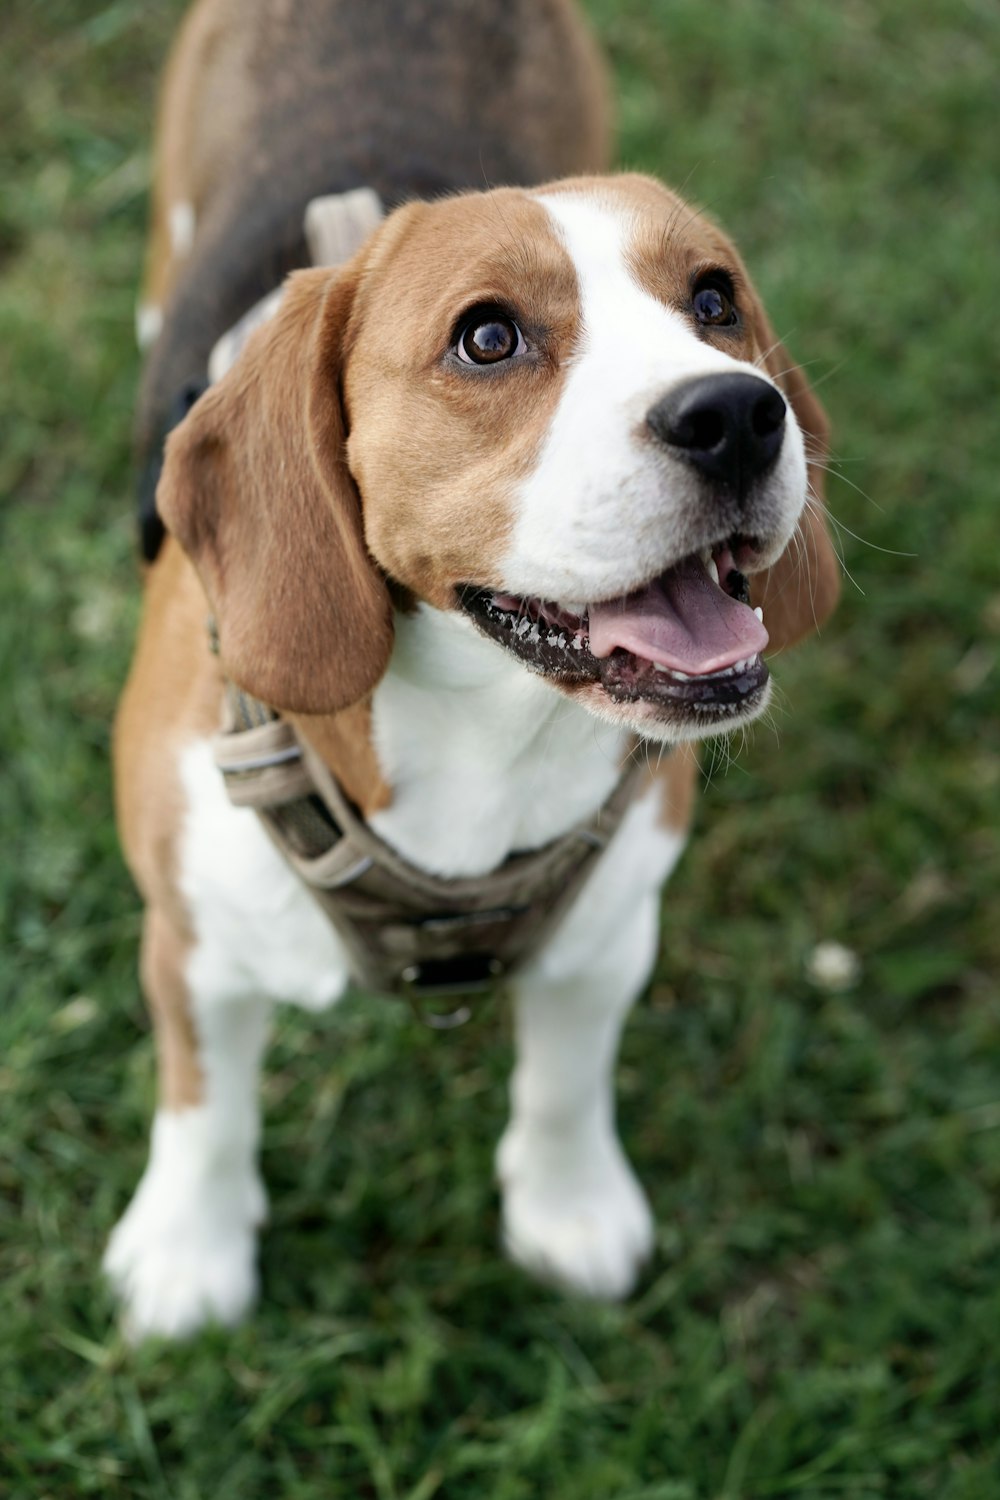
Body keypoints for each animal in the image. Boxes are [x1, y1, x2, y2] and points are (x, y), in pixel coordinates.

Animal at [105, 0, 839, 1338]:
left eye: (714, 299)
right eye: (488, 338)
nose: (738, 415)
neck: (484, 738)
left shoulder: (608, 932)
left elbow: (564, 1083)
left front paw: (569, 1211)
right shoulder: (187, 938)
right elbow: (202, 1107)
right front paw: (187, 1254)